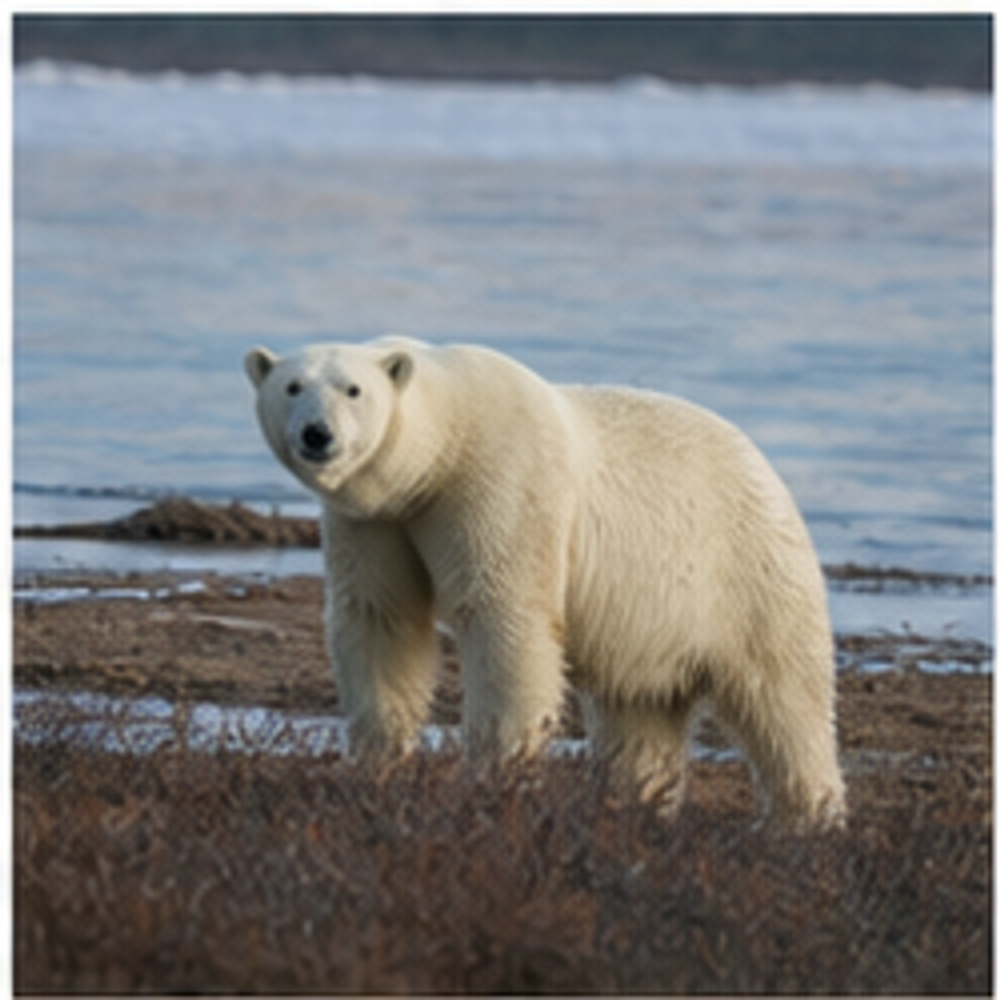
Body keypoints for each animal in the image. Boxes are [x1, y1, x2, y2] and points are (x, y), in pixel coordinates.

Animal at [245, 337, 846, 829]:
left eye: (353, 390)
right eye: (292, 386)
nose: (317, 434)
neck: (444, 445)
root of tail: (764, 466)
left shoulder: (499, 485)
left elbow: (506, 620)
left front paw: (497, 769)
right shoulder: (377, 521)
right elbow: (382, 617)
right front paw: (377, 760)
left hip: (744, 570)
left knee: (783, 697)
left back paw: (807, 818)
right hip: (650, 622)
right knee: (640, 713)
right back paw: (636, 804)